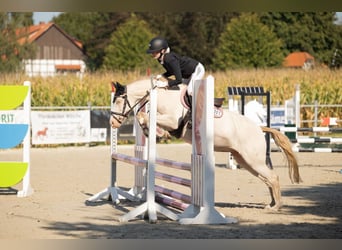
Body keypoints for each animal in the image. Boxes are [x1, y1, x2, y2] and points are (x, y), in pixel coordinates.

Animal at [110, 78, 302, 211]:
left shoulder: (172, 120)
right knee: (268, 178)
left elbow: (145, 116)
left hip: (253, 160)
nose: (112, 123)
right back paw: (272, 203)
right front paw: (152, 131)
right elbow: (145, 117)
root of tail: (259, 127)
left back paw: (276, 206)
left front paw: (154, 131)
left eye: (118, 101)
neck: (163, 97)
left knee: (273, 177)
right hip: (245, 161)